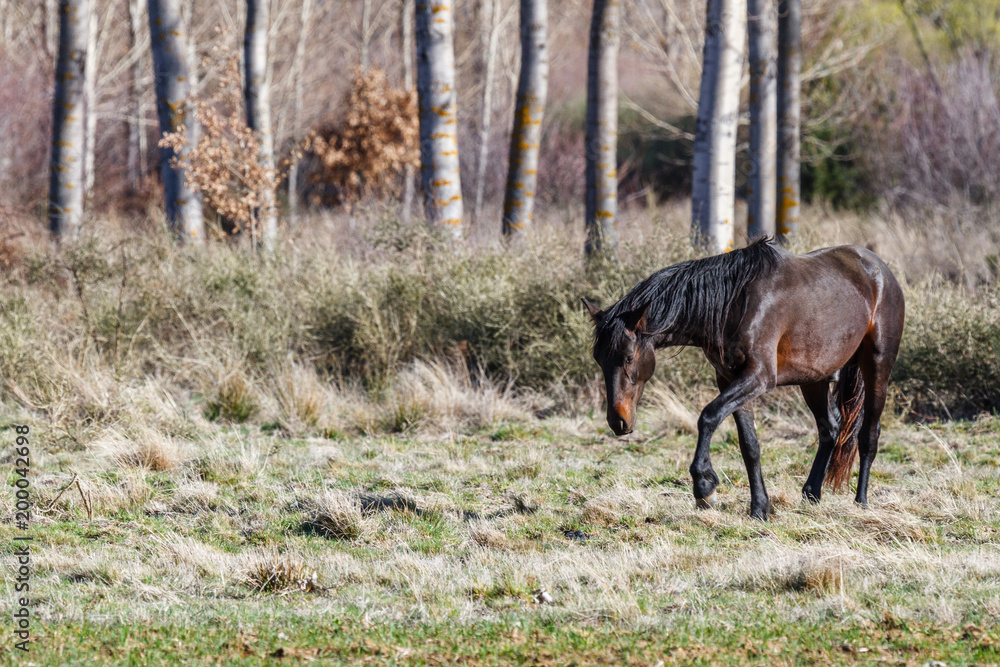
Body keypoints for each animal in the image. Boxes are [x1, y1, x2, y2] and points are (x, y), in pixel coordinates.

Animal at [583, 238, 905, 520]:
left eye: (628, 357)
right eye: (598, 359)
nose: (618, 421)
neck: (735, 303)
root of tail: (881, 271)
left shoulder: (758, 377)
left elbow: (708, 416)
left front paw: (704, 486)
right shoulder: (730, 379)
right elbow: (749, 445)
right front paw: (760, 508)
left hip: (877, 367)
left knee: (869, 434)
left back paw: (861, 501)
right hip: (814, 378)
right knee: (831, 428)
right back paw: (812, 493)